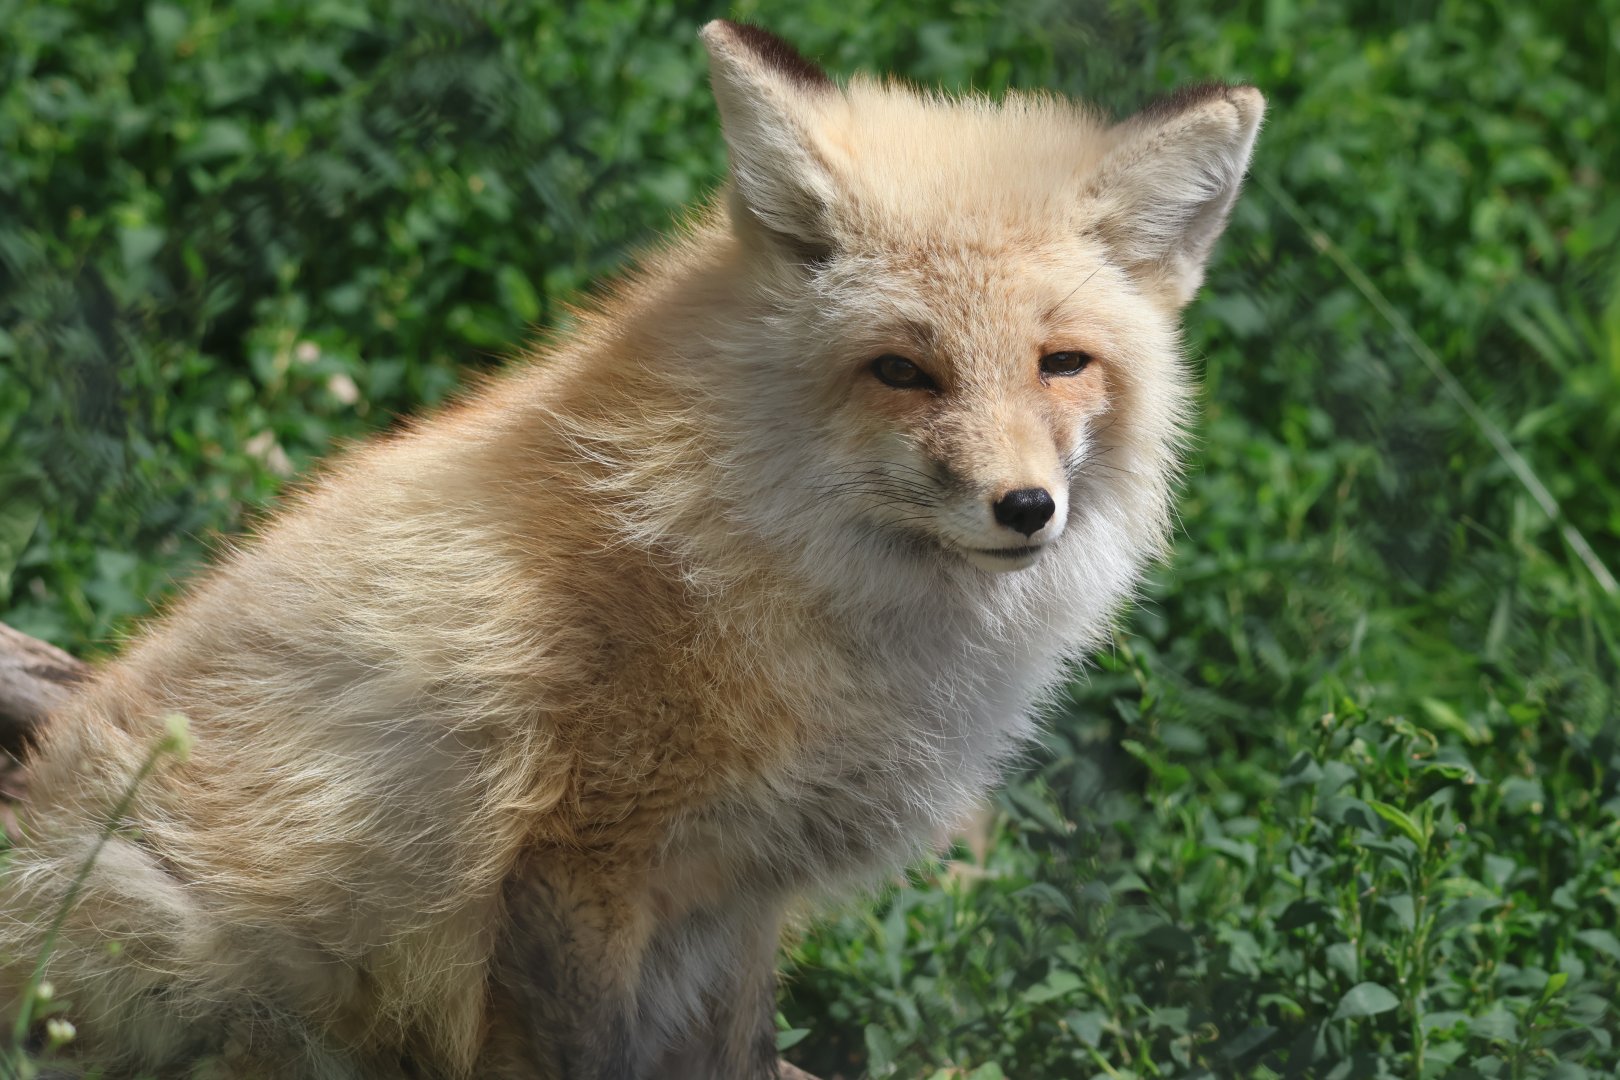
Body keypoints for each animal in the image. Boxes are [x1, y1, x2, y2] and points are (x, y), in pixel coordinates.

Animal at [0, 19, 1264, 1080]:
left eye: (1063, 363)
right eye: (903, 370)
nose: (1025, 508)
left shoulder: (740, 900)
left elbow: (738, 1055)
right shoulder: (575, 865)